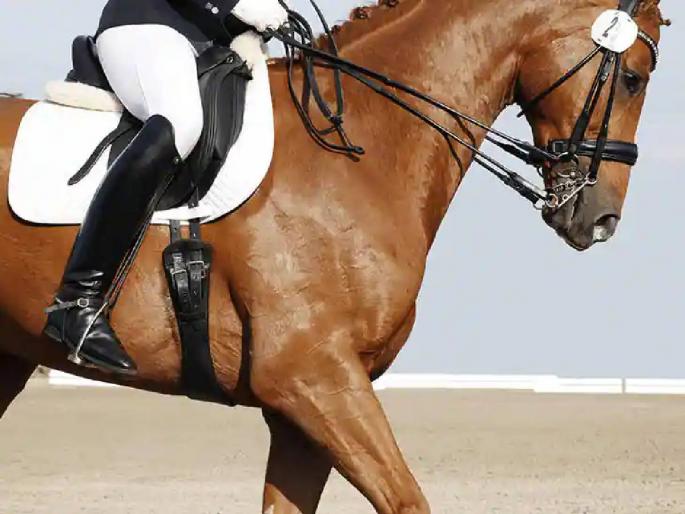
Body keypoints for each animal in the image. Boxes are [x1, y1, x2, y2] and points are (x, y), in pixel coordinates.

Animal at [0, 0, 667, 512]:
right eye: (633, 77)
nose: (600, 218)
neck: (359, 152)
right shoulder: (310, 376)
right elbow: (407, 501)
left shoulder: (307, 405)